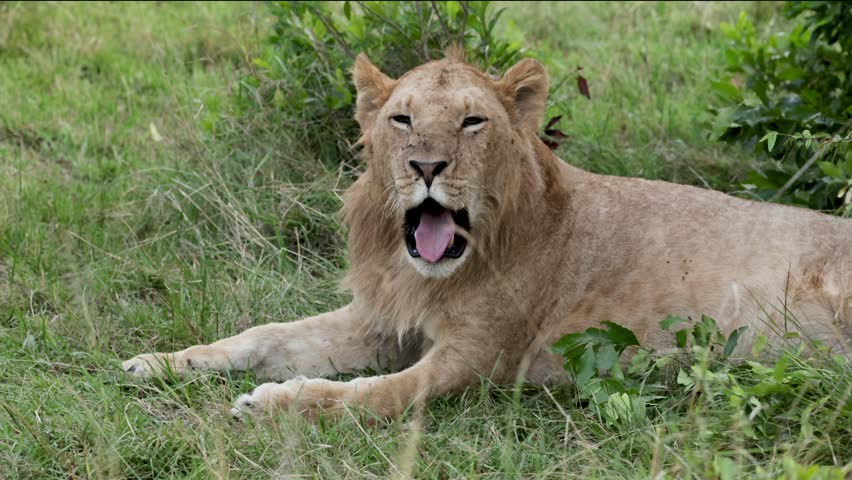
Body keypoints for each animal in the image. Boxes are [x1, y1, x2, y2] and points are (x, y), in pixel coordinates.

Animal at [122, 50, 852, 420]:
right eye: (402, 119)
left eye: (472, 122)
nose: (426, 166)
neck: (429, 273)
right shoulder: (380, 322)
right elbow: (263, 336)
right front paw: (159, 363)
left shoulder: (476, 360)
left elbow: (374, 395)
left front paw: (273, 404)